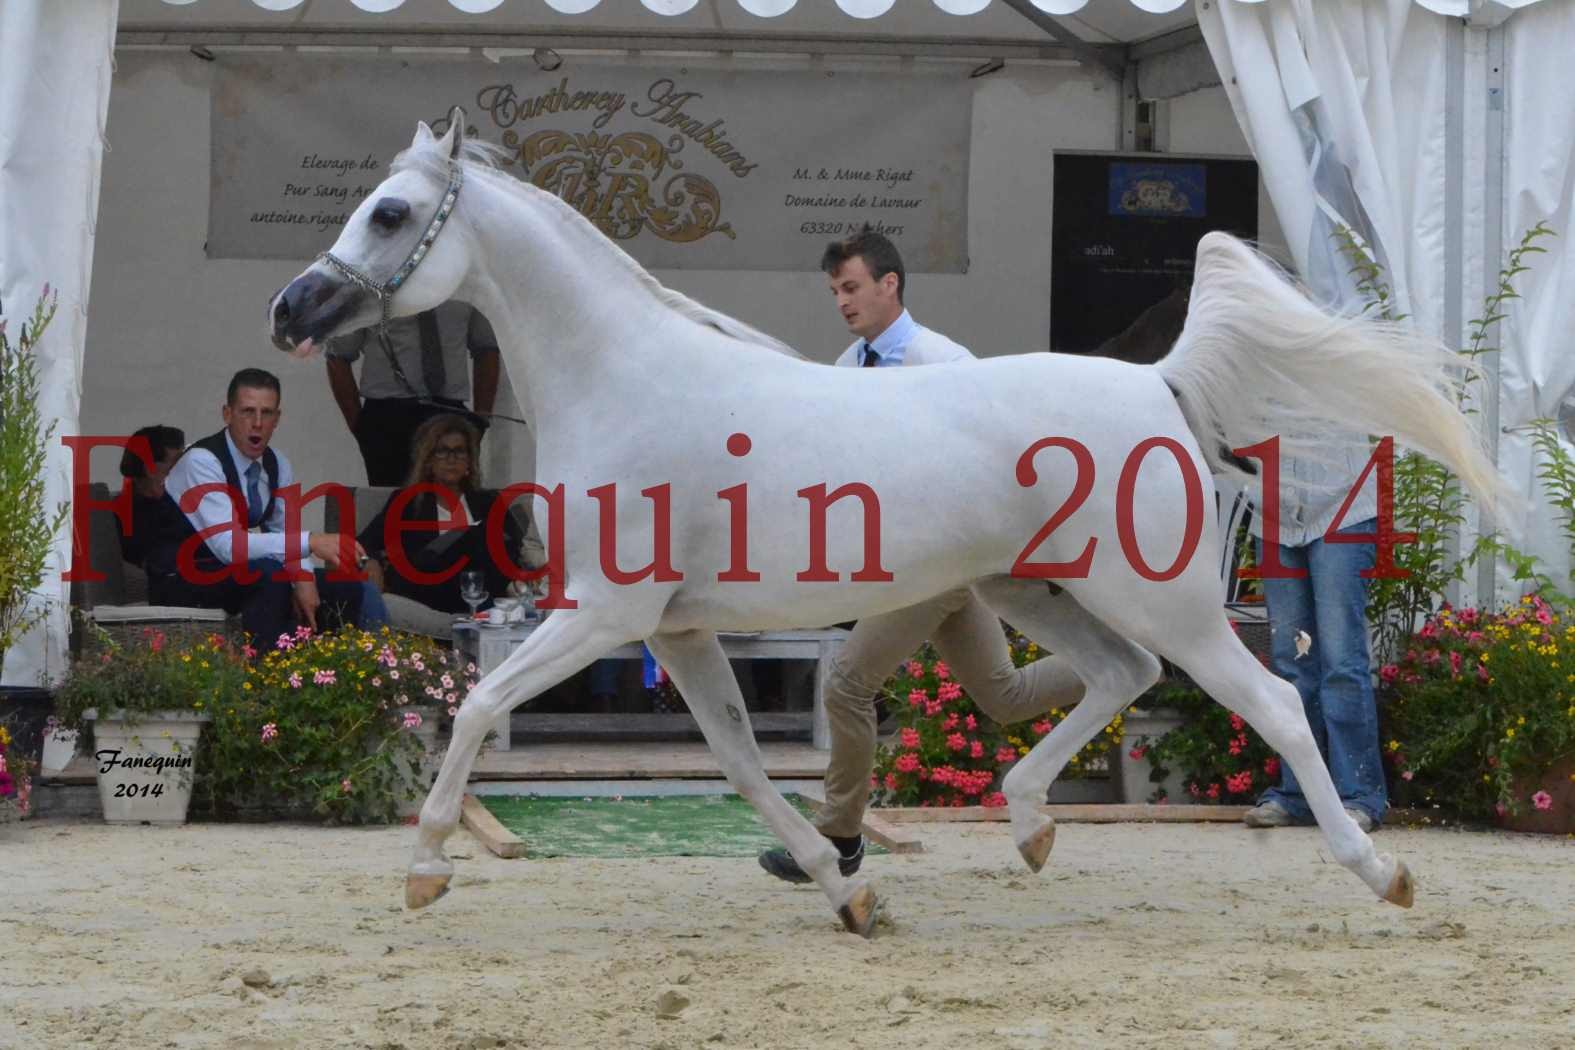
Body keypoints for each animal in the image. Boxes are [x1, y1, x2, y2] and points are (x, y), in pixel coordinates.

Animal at [267, 113, 1499, 938]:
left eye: (388, 212)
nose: (293, 309)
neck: (627, 380)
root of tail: (1158, 384)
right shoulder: (674, 631)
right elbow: (743, 765)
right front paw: (846, 887)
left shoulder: (603, 615)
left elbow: (477, 707)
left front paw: (426, 868)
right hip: (1037, 592)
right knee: (1117, 678)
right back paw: (1030, 824)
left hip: (1171, 603)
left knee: (1273, 703)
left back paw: (1380, 872)